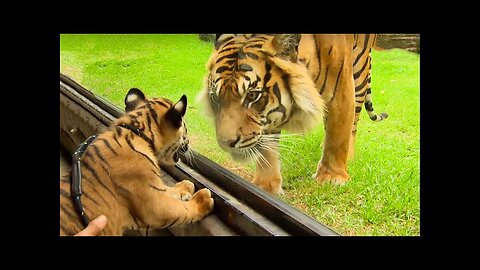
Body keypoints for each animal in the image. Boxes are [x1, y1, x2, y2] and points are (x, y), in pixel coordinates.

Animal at [59, 89, 213, 236]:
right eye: (185, 128)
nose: (189, 142)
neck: (139, 132)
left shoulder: (155, 187)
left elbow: (169, 189)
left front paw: (186, 185)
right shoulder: (155, 206)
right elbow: (183, 209)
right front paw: (203, 200)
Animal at [197, 34, 388, 194]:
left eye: (252, 95)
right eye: (215, 98)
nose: (226, 143)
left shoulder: (342, 90)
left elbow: (338, 135)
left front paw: (332, 177)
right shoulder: (268, 117)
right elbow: (267, 148)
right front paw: (266, 185)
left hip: (360, 75)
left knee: (353, 124)